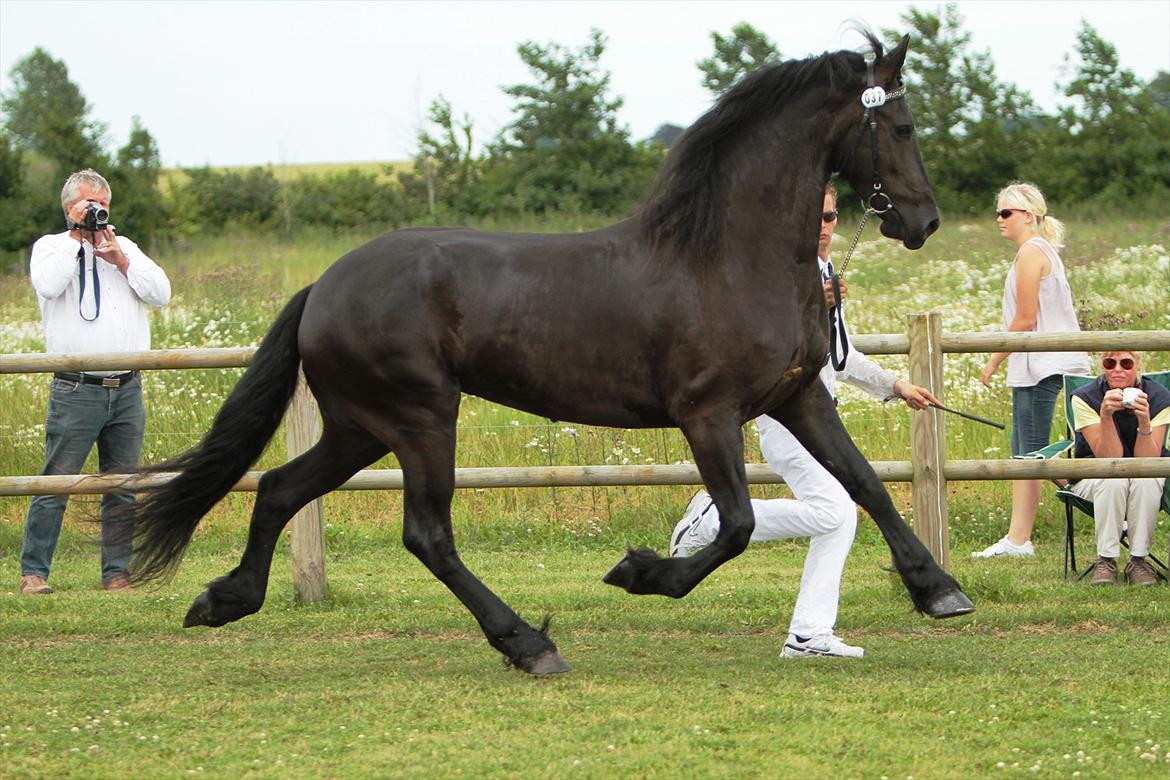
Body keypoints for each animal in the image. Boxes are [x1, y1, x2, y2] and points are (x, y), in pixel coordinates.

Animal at [123, 33, 973, 673]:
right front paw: (640, 572)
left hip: (360, 427)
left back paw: (224, 599)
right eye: (901, 128)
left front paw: (939, 589)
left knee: (277, 490)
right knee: (426, 534)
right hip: (421, 418)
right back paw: (528, 643)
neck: (726, 257)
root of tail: (324, 286)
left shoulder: (798, 396)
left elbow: (868, 485)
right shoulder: (708, 414)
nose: (923, 221)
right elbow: (733, 525)